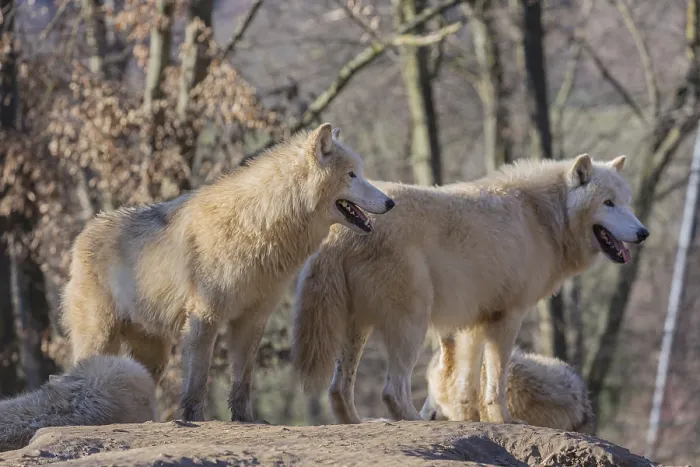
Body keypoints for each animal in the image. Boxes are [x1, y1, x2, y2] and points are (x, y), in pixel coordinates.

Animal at [61, 123, 395, 422]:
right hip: (100, 338)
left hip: (153, 354)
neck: (259, 225)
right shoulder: (205, 317)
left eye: (361, 172)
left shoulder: (253, 319)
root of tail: (82, 234)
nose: (390, 202)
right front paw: (194, 419)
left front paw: (246, 419)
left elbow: (243, 381)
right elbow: (198, 381)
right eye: (351, 175)